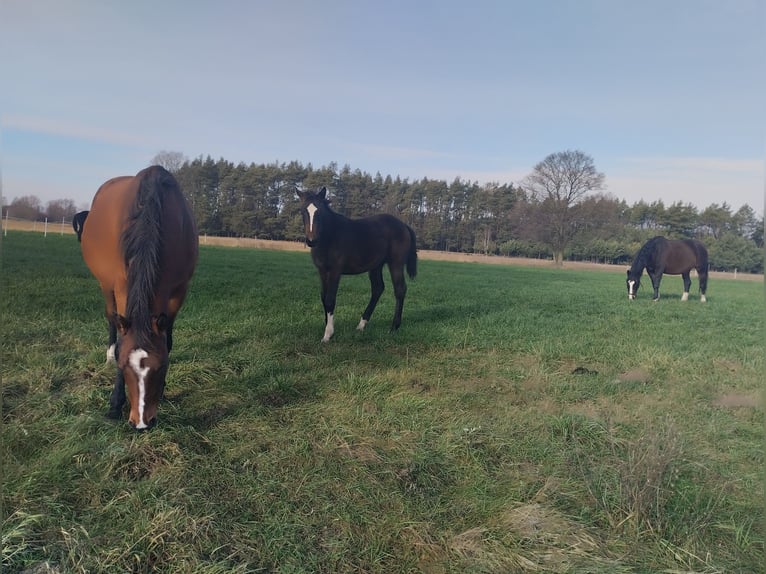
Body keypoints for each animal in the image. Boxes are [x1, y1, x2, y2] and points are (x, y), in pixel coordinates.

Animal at [80, 166, 198, 429]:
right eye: (124, 366)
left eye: (162, 367)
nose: (142, 423)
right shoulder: (122, 285)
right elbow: (122, 340)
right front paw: (115, 403)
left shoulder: (178, 292)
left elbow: (168, 340)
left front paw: (163, 392)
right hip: (106, 285)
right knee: (111, 318)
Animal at [297, 186, 418, 342]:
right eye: (302, 211)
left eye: (320, 211)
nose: (311, 240)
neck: (329, 237)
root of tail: (404, 225)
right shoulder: (322, 270)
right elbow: (323, 297)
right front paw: (326, 326)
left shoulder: (335, 270)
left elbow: (330, 299)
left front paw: (328, 334)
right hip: (376, 266)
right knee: (378, 289)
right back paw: (361, 325)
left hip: (395, 263)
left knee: (400, 289)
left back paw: (393, 327)